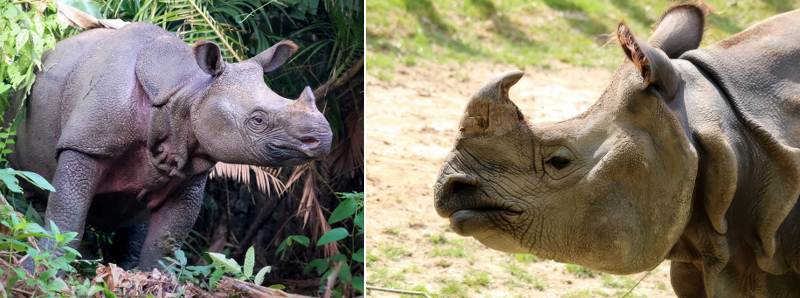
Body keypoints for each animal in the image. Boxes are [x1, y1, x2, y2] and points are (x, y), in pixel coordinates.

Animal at [12, 22, 332, 270]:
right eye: (257, 120)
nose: (324, 137)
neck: (188, 93)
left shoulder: (189, 173)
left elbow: (164, 243)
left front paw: (151, 279)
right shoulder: (86, 143)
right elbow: (66, 219)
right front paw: (44, 267)